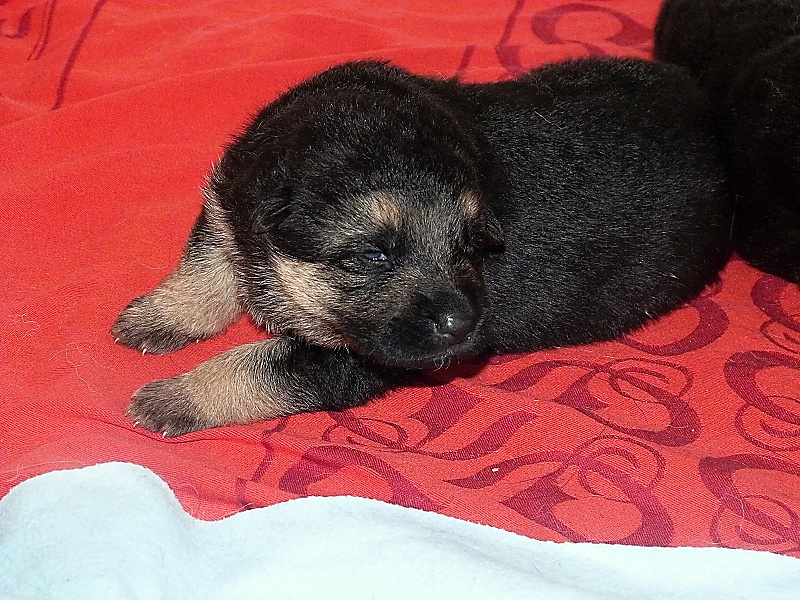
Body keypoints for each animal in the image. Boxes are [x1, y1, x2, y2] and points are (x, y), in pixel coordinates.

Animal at [112, 57, 736, 436]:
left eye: (470, 245)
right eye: (373, 256)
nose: (465, 324)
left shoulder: (355, 358)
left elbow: (257, 365)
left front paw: (177, 398)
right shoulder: (232, 205)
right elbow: (207, 266)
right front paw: (162, 316)